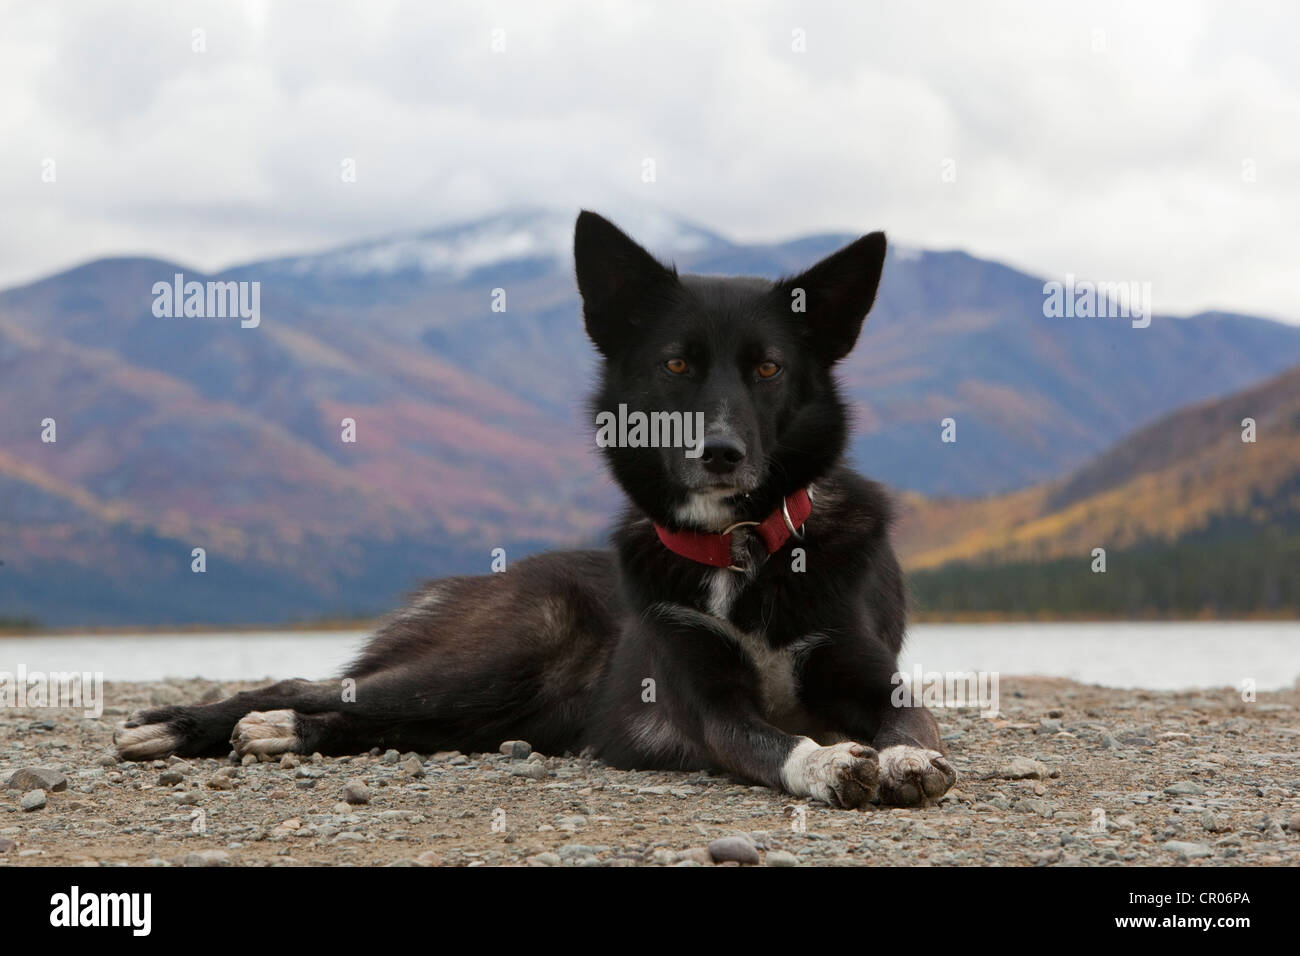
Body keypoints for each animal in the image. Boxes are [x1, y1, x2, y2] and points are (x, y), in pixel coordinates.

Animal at [116, 210, 956, 806]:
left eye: (770, 368)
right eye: (676, 364)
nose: (720, 453)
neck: (742, 545)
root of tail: (476, 581)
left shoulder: (868, 674)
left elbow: (912, 721)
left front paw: (909, 756)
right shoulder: (707, 701)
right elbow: (769, 742)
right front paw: (827, 762)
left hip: (495, 713)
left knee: (381, 721)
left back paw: (282, 734)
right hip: (497, 659)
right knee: (319, 684)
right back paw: (190, 724)